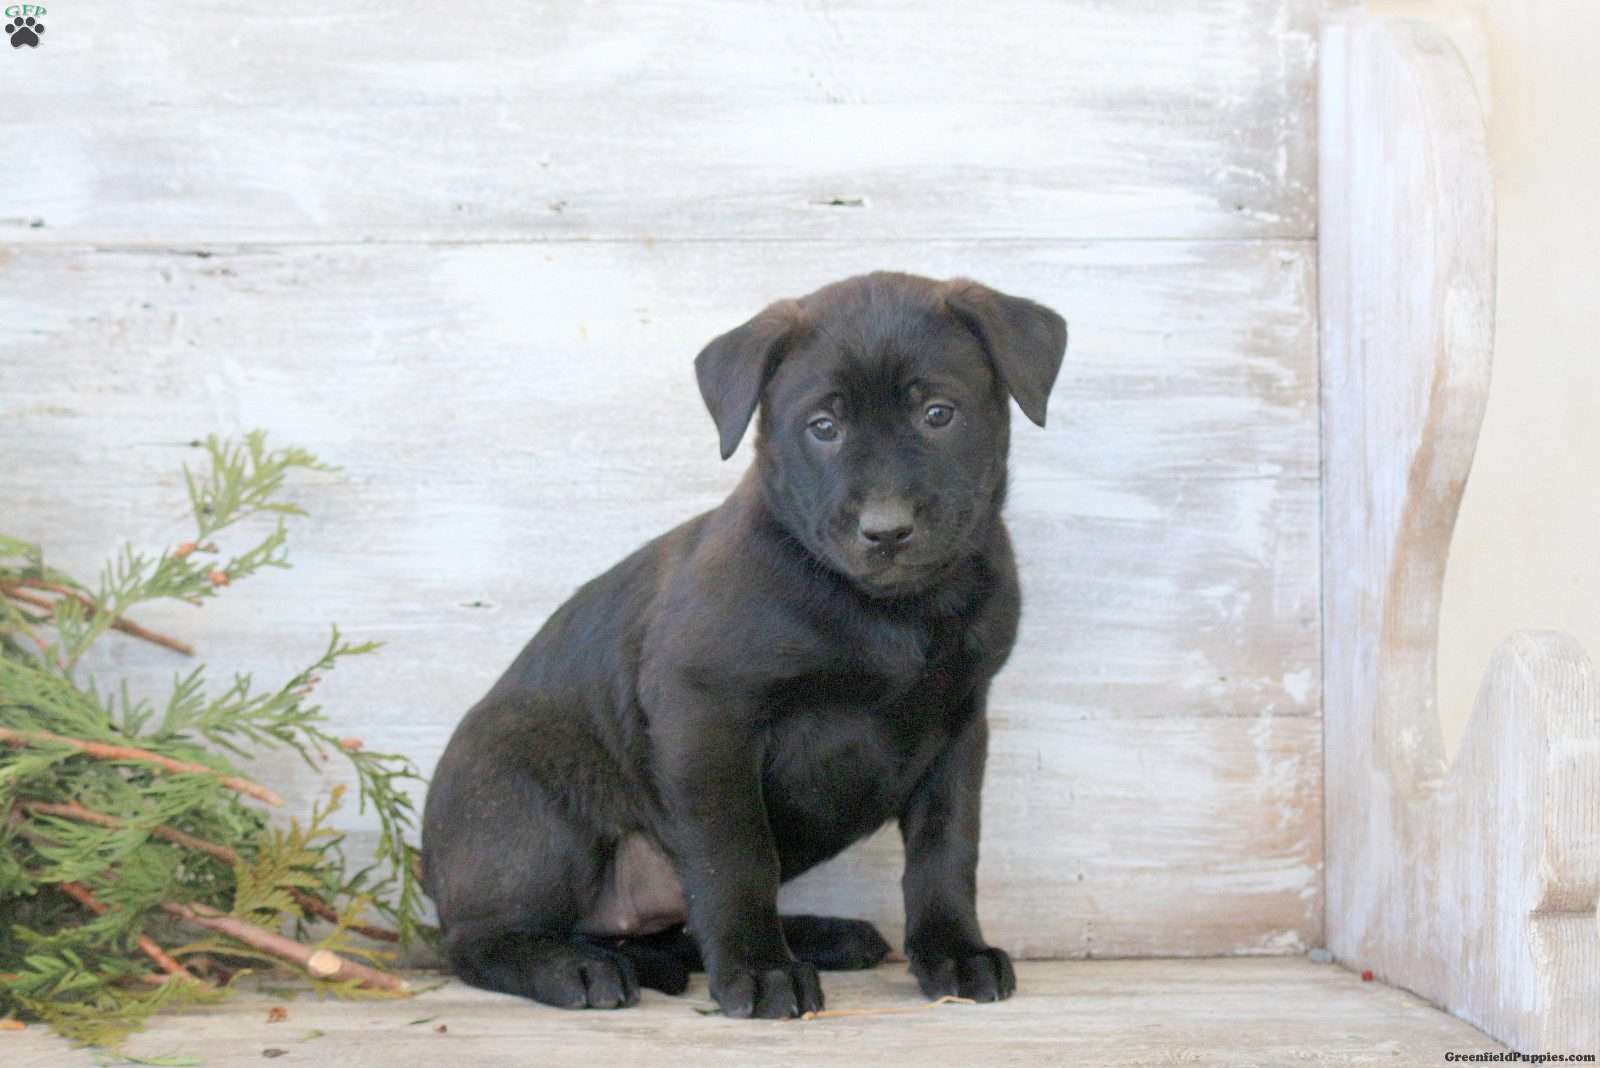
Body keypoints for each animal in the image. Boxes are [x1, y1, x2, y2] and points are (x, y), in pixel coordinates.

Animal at [421, 271, 1067, 1018]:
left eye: (939, 414)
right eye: (823, 427)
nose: (887, 530)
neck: (886, 612)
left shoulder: (959, 725)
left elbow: (946, 851)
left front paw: (955, 951)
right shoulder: (707, 718)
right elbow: (736, 856)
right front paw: (760, 971)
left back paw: (817, 935)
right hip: (531, 804)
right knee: (478, 941)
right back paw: (574, 967)